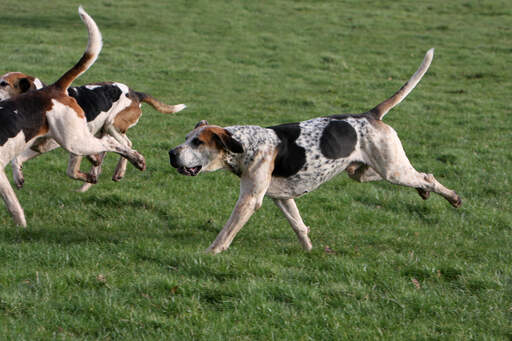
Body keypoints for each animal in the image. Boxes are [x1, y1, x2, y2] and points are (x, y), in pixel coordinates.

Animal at [0, 5, 146, 226]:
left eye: (3, 84)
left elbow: (70, 171)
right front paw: (19, 178)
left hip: (96, 132)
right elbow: (17, 162)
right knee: (116, 146)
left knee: (121, 145)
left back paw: (126, 165)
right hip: (95, 133)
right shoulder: (40, 145)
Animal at [168, 49, 460, 254]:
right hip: (364, 171)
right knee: (419, 176)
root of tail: (370, 114)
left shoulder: (249, 200)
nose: (171, 153)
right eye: (186, 138)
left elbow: (226, 232)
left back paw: (452, 197)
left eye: (197, 143)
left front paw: (211, 252)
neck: (246, 144)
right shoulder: (281, 197)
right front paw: (309, 250)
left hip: (393, 170)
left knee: (428, 177)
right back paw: (423, 191)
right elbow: (299, 225)